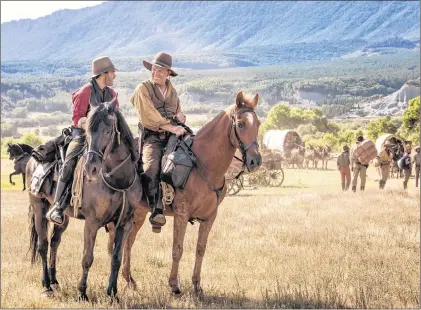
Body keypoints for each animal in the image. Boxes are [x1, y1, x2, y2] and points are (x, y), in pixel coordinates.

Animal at [27, 97, 141, 300]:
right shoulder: (92, 222)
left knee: (55, 242)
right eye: (87, 132)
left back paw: (55, 281)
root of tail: (33, 158)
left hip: (62, 218)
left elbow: (116, 258)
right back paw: (46, 285)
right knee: (43, 245)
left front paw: (112, 294)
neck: (118, 180)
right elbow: (87, 258)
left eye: (108, 130)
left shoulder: (124, 223)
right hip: (39, 209)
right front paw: (82, 292)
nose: (91, 168)